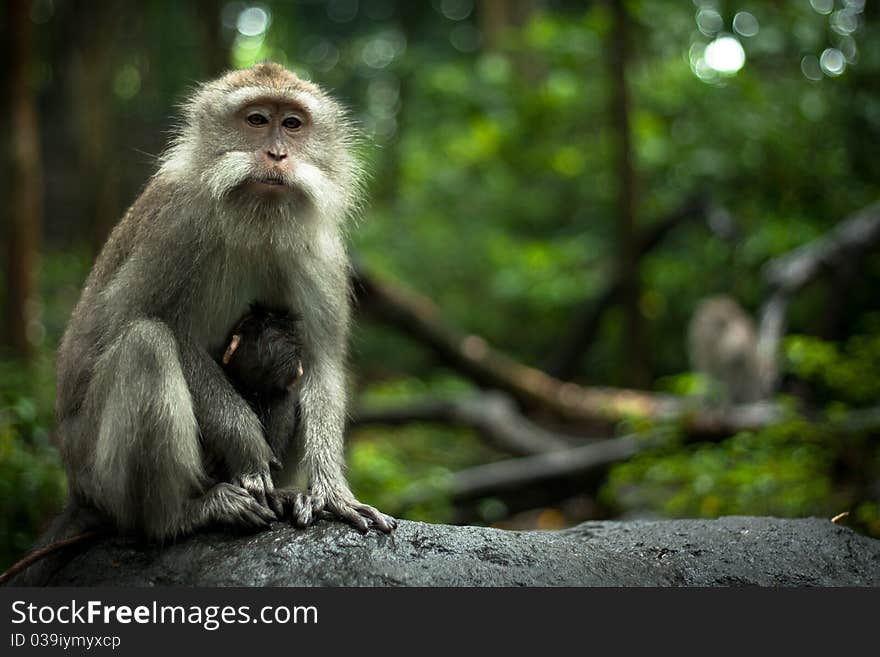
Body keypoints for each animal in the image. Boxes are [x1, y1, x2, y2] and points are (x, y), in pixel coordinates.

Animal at [52, 62, 398, 544]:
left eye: (293, 124)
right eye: (256, 120)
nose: (277, 155)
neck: (254, 220)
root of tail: (75, 488)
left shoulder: (321, 250)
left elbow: (322, 360)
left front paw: (332, 493)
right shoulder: (177, 224)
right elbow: (130, 319)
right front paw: (247, 447)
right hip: (97, 476)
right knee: (145, 344)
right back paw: (178, 516)